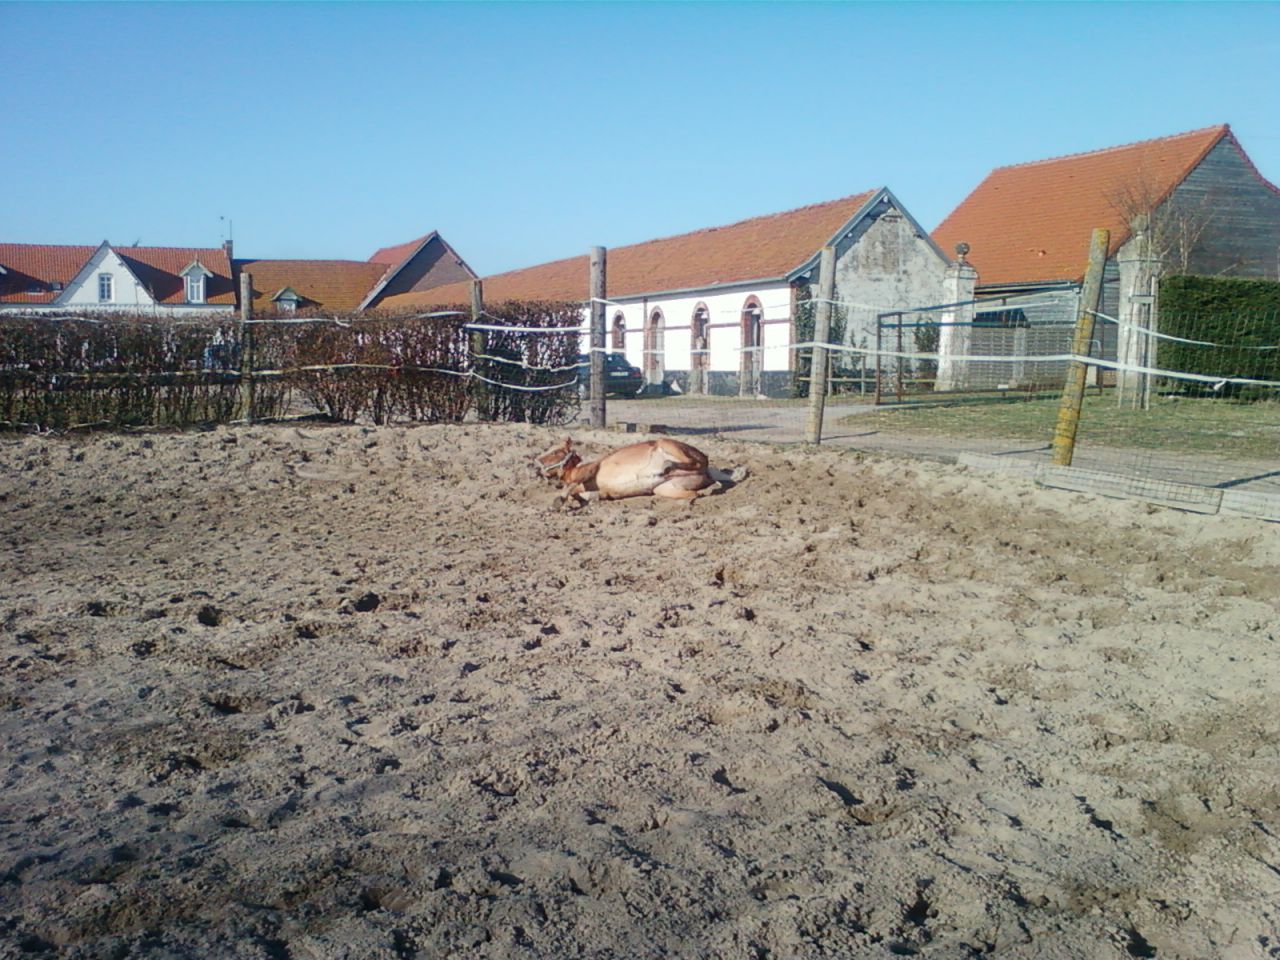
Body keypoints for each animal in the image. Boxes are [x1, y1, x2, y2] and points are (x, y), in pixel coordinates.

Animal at [533, 436, 747, 509]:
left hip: (669, 446)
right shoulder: (601, 491)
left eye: (556, 452)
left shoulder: (591, 470)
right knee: (698, 492)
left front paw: (559, 501)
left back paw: (667, 466)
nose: (535, 466)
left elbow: (568, 488)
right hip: (665, 489)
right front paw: (583, 500)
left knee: (695, 462)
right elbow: (580, 493)